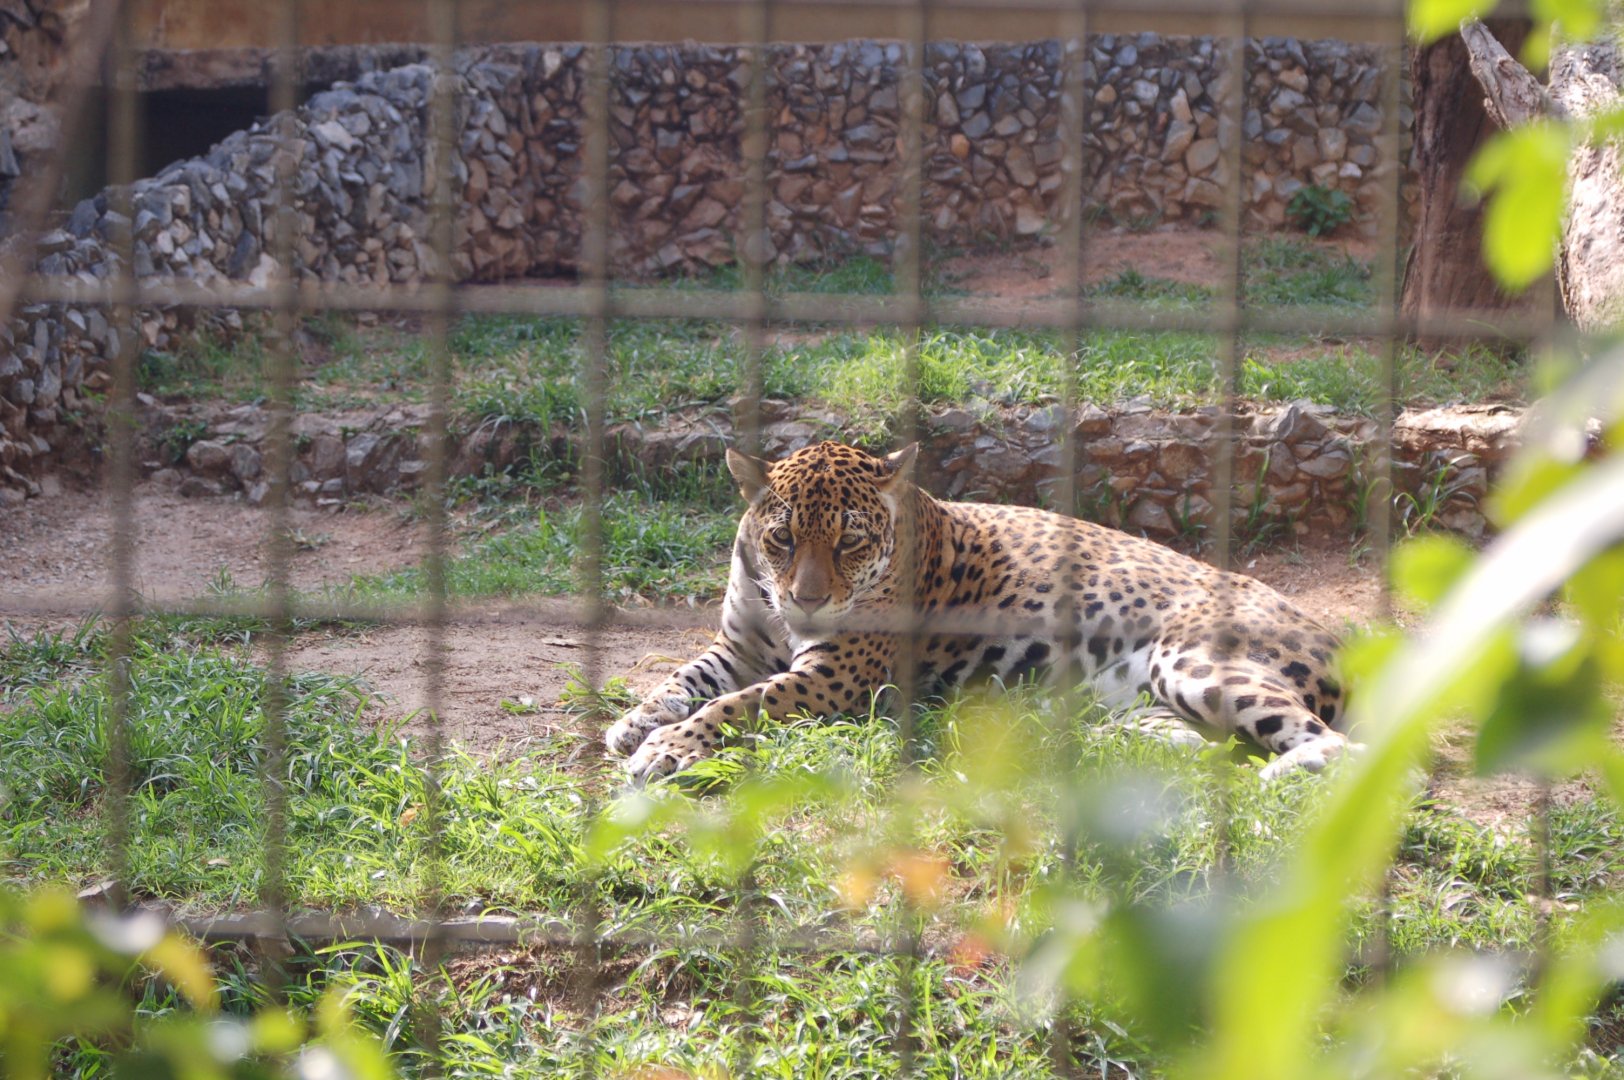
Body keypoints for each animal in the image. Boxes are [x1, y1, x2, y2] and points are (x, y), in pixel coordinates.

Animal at [607, 440, 1354, 784]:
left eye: (849, 541)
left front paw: (667, 748)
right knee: (1207, 744)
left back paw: (1281, 774)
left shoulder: (835, 676)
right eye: (782, 538)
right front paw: (635, 720)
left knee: (1338, 746)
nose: (807, 601)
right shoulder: (739, 643)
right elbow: (688, 677)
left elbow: (738, 703)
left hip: (1195, 659)